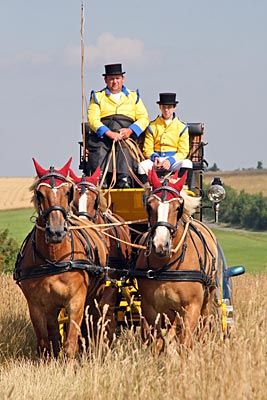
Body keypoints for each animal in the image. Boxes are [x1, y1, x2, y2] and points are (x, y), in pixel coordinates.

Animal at [13, 158, 109, 358]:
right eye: (40, 194)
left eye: (67, 192)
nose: (56, 232)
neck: (54, 259)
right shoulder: (36, 306)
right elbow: (45, 343)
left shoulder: (76, 301)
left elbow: (70, 344)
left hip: (95, 294)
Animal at [134, 169, 220, 354]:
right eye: (149, 205)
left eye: (178, 207)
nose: (160, 245)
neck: (168, 265)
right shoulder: (150, 308)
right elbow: (156, 341)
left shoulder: (192, 306)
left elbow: (185, 341)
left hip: (207, 298)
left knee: (203, 325)